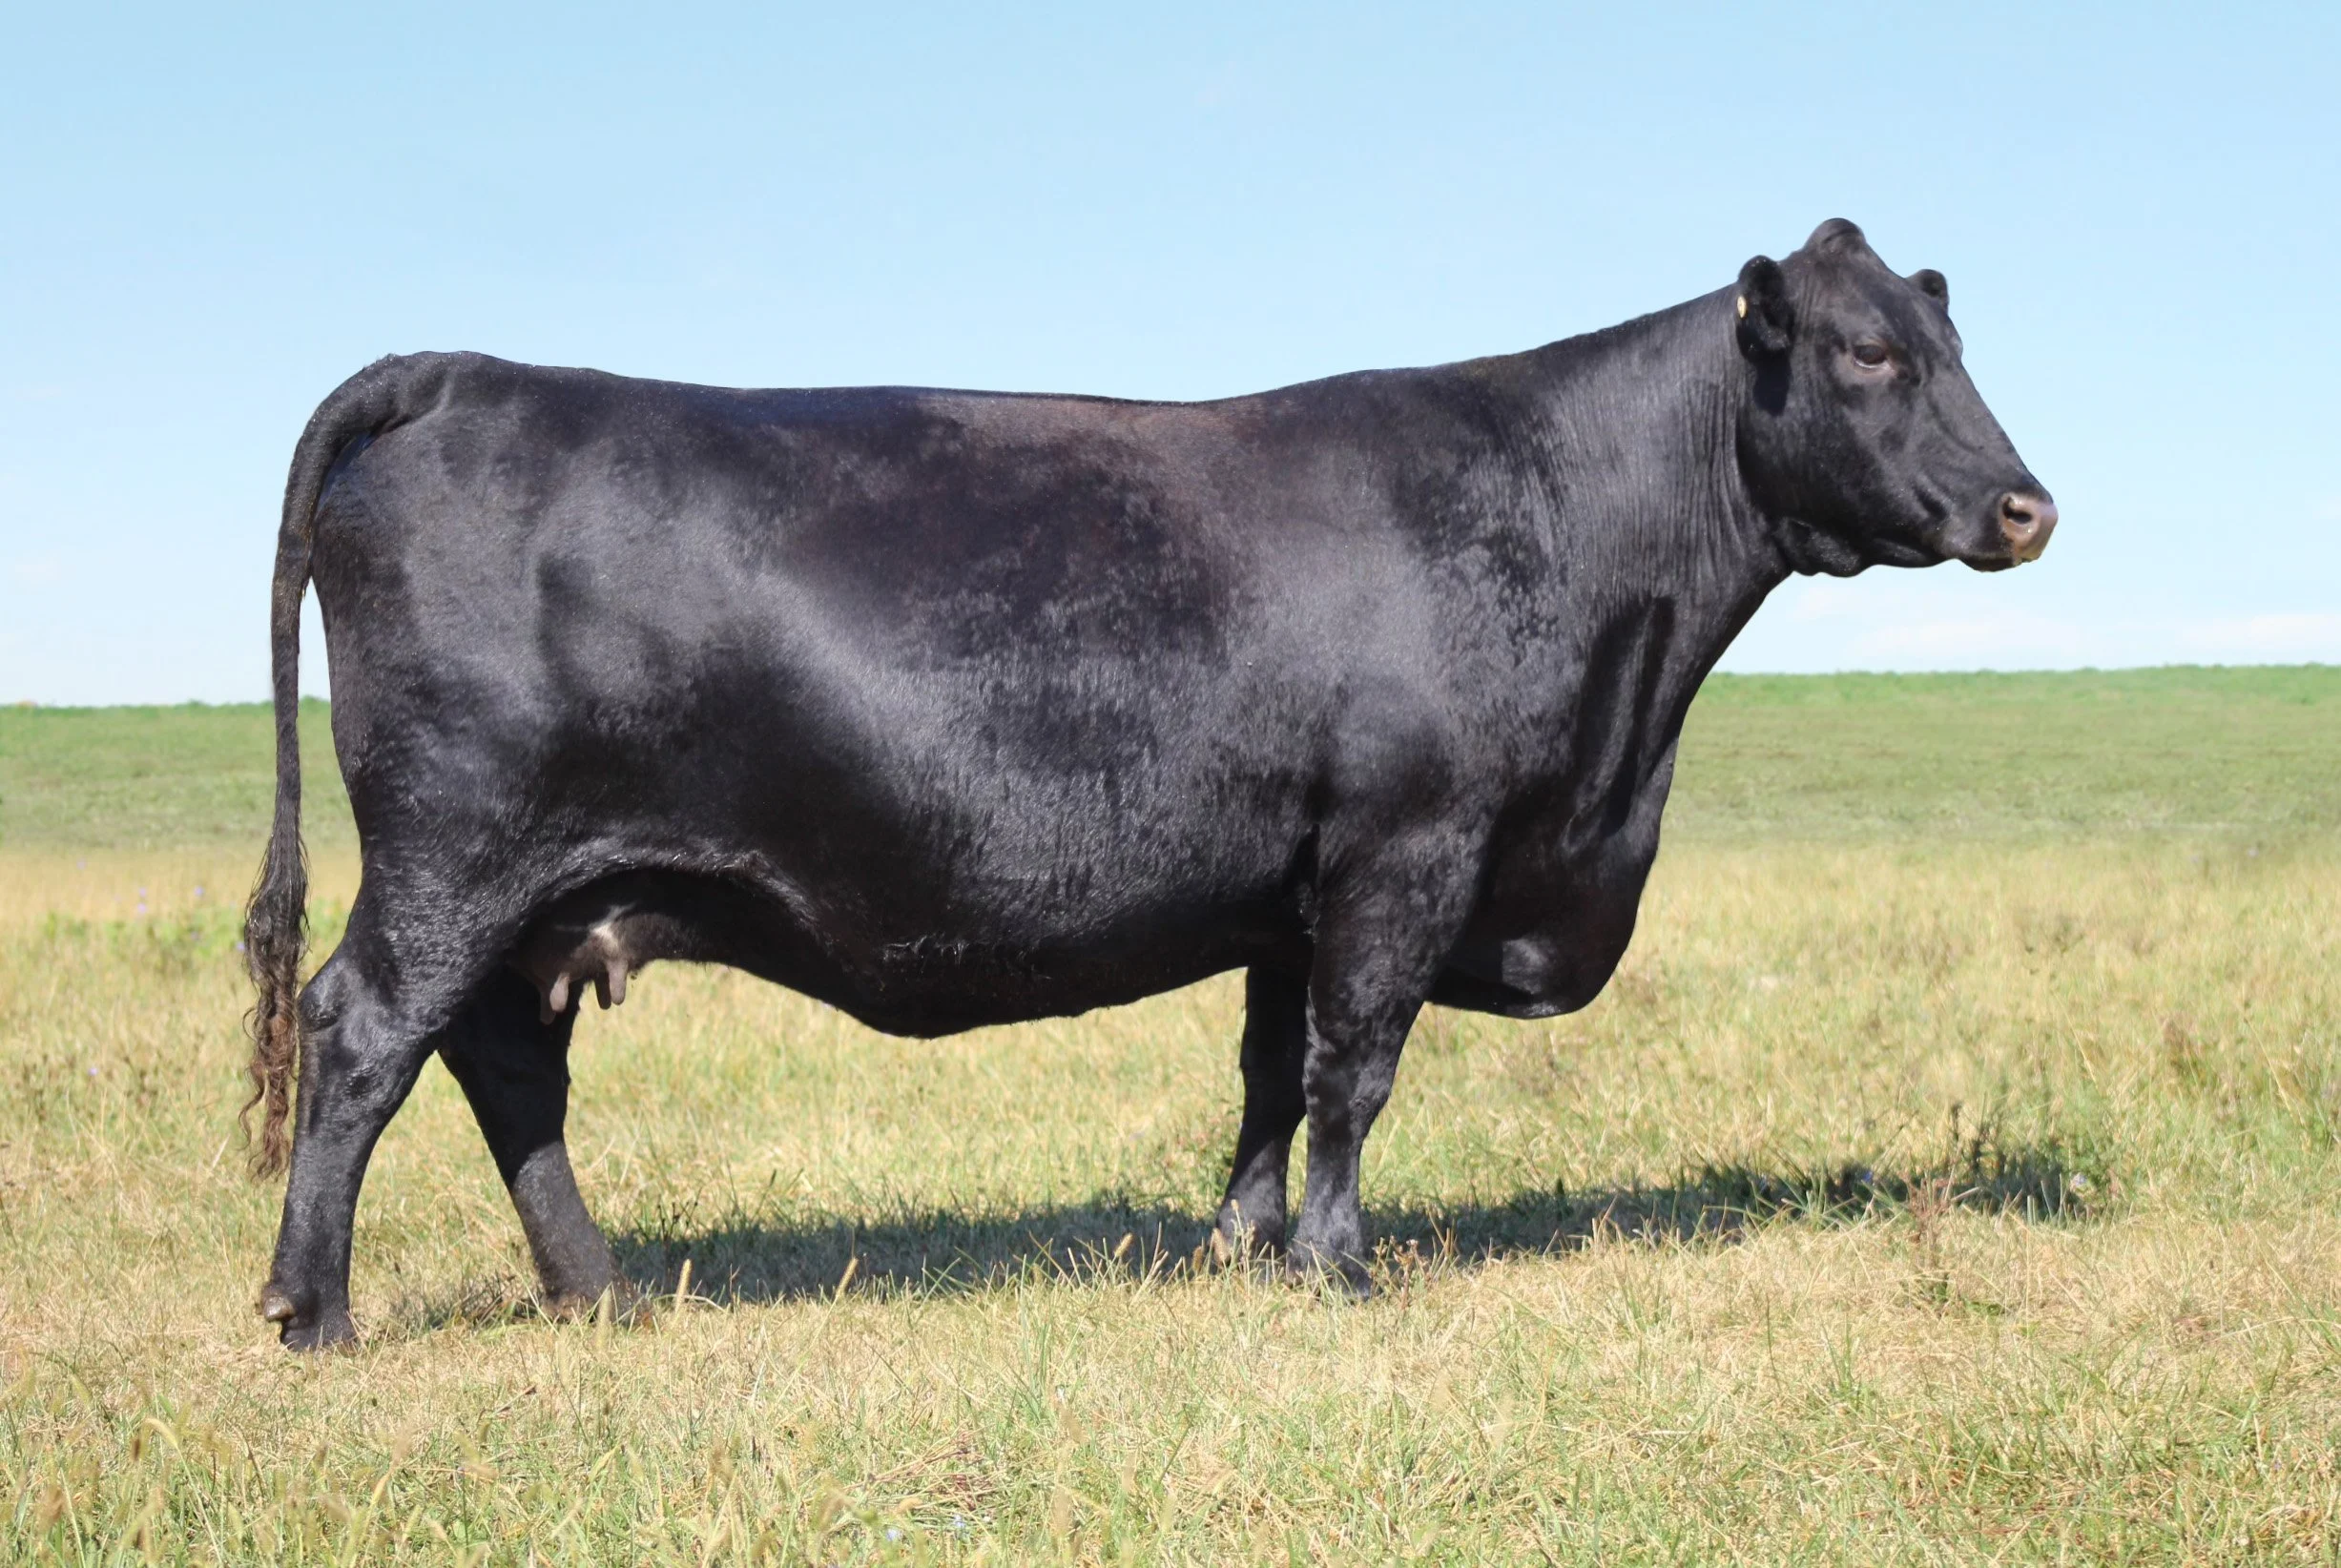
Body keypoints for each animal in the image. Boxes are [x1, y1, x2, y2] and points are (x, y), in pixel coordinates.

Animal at [243, 219, 2055, 1348]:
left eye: (1948, 339)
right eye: (1863, 353)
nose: (2025, 505)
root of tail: (459, 369)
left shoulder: (1290, 883)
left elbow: (1268, 1071)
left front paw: (1240, 1247)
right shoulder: (1409, 844)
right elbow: (1354, 1070)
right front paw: (1338, 1267)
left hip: (543, 893)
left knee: (503, 1064)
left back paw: (598, 1289)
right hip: (456, 852)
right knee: (365, 1033)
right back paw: (313, 1310)